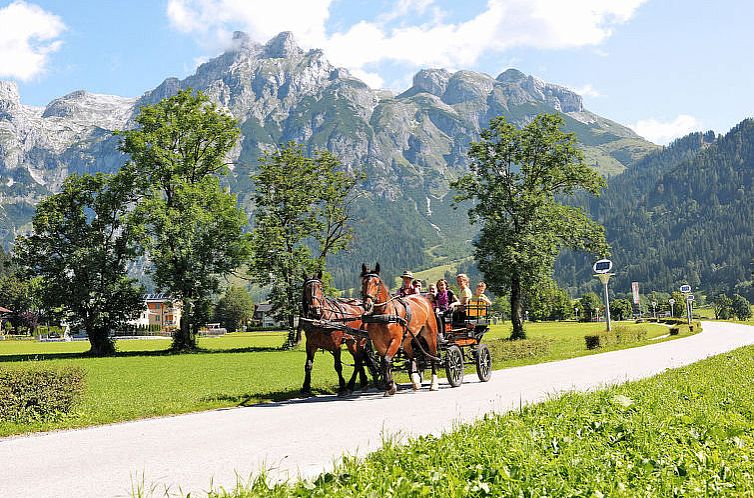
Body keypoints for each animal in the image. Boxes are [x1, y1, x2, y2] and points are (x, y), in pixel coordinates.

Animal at [360, 262, 438, 394]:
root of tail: (423, 299)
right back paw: (416, 382)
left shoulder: (395, 340)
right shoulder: (379, 343)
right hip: (407, 340)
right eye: (363, 282)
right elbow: (384, 362)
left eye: (377, 283)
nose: (367, 304)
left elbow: (387, 360)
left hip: (430, 335)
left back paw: (434, 384)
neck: (384, 314)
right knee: (413, 357)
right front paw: (390, 386)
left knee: (432, 356)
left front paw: (390, 384)